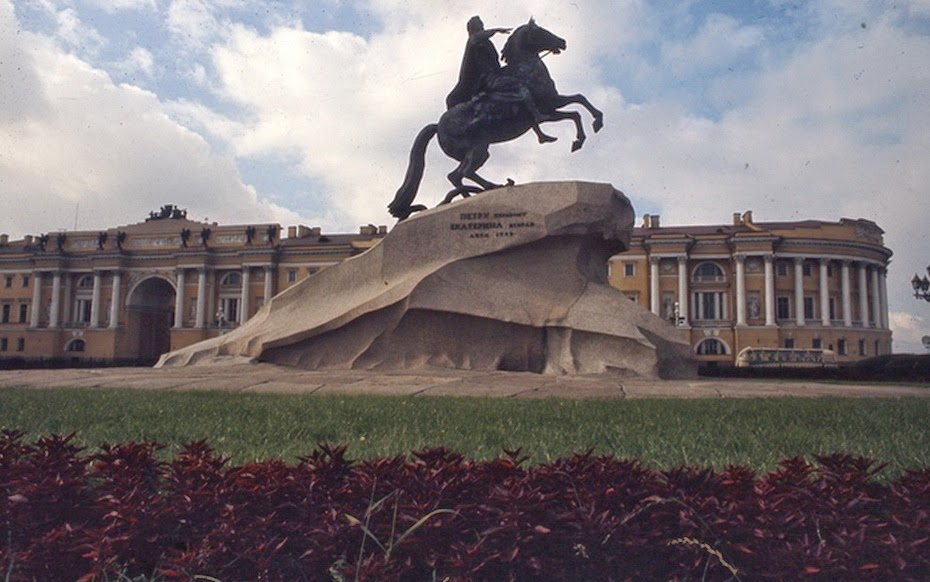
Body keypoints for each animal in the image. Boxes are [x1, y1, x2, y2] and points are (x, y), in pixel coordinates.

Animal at [384, 19, 600, 221]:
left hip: (478, 151)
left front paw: (590, 128)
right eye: (540, 31)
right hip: (477, 149)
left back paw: (480, 191)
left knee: (458, 175)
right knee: (462, 174)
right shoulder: (548, 109)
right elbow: (569, 109)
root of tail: (438, 126)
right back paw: (488, 188)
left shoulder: (554, 104)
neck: (526, 71)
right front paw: (584, 134)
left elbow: (578, 103)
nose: (562, 42)